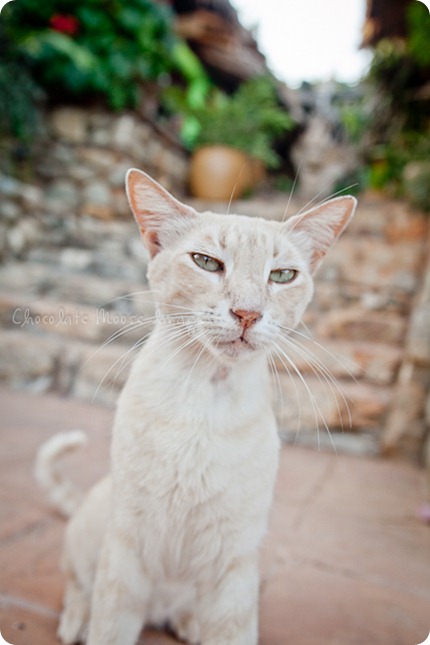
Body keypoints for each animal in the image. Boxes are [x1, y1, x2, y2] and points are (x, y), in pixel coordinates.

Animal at [36, 170, 356, 644]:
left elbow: (231, 630)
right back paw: (77, 619)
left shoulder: (236, 561)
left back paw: (187, 623)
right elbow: (110, 624)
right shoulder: (126, 546)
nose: (247, 313)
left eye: (282, 275)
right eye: (207, 263)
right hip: (93, 536)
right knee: (78, 584)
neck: (206, 394)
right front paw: (93, 622)